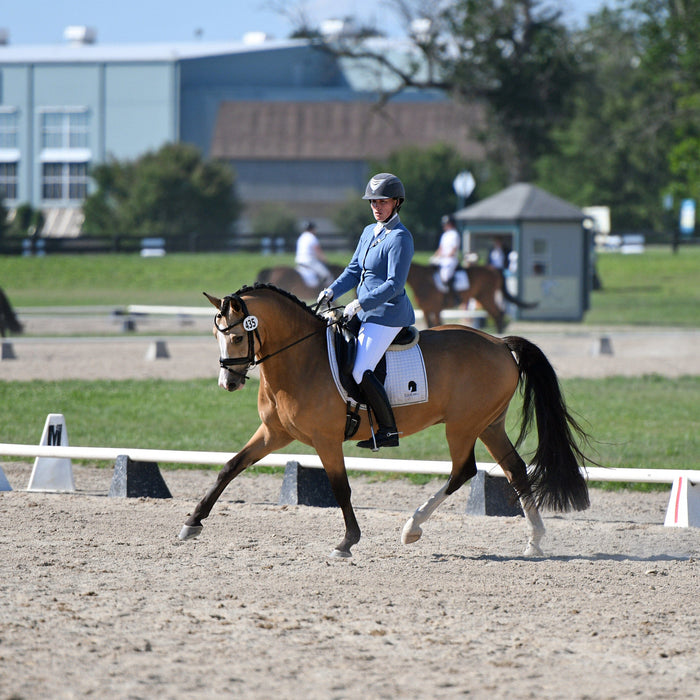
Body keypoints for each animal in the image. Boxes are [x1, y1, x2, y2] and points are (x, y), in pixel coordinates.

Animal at [176, 284, 592, 556]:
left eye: (236, 337)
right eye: (215, 334)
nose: (228, 382)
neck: (300, 361)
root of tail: (499, 343)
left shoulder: (326, 440)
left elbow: (341, 488)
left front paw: (347, 542)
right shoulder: (273, 433)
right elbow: (229, 467)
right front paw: (192, 522)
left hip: (462, 426)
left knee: (464, 471)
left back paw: (412, 528)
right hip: (489, 425)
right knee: (515, 469)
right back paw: (534, 541)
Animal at [408, 262, 540, 334]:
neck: (423, 280)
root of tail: (493, 269)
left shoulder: (436, 309)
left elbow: (436, 323)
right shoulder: (426, 310)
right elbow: (430, 324)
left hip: (486, 297)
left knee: (498, 313)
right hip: (483, 298)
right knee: (497, 314)